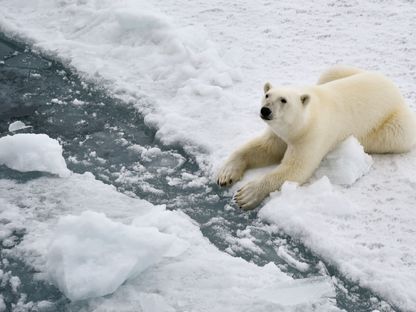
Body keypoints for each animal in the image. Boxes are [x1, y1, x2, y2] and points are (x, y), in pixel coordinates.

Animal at [218, 67, 416, 211]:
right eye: (267, 95)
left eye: (283, 100)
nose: (265, 110)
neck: (304, 120)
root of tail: (393, 86)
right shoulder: (280, 134)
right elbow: (263, 148)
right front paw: (226, 174)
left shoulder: (312, 135)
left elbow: (296, 169)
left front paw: (246, 195)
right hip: (346, 72)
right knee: (331, 71)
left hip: (393, 126)